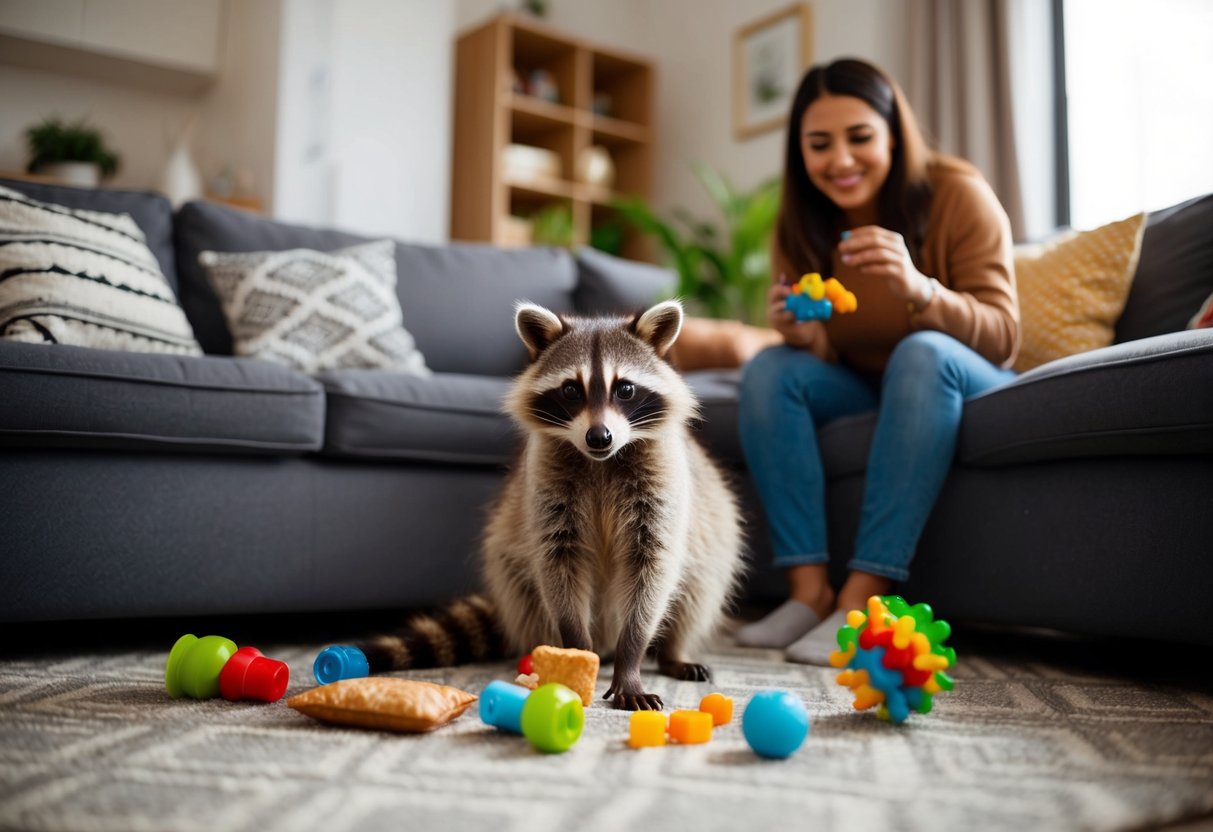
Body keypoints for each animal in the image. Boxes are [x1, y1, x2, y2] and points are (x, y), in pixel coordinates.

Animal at [360, 300, 745, 711]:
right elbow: (557, 564)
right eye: (571, 390)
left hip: (712, 539)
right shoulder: (544, 482)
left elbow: (652, 570)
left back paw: (672, 651)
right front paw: (575, 653)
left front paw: (632, 658)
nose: (599, 437)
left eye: (625, 389)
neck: (600, 460)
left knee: (700, 589)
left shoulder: (664, 484)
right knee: (523, 589)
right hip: (510, 563)